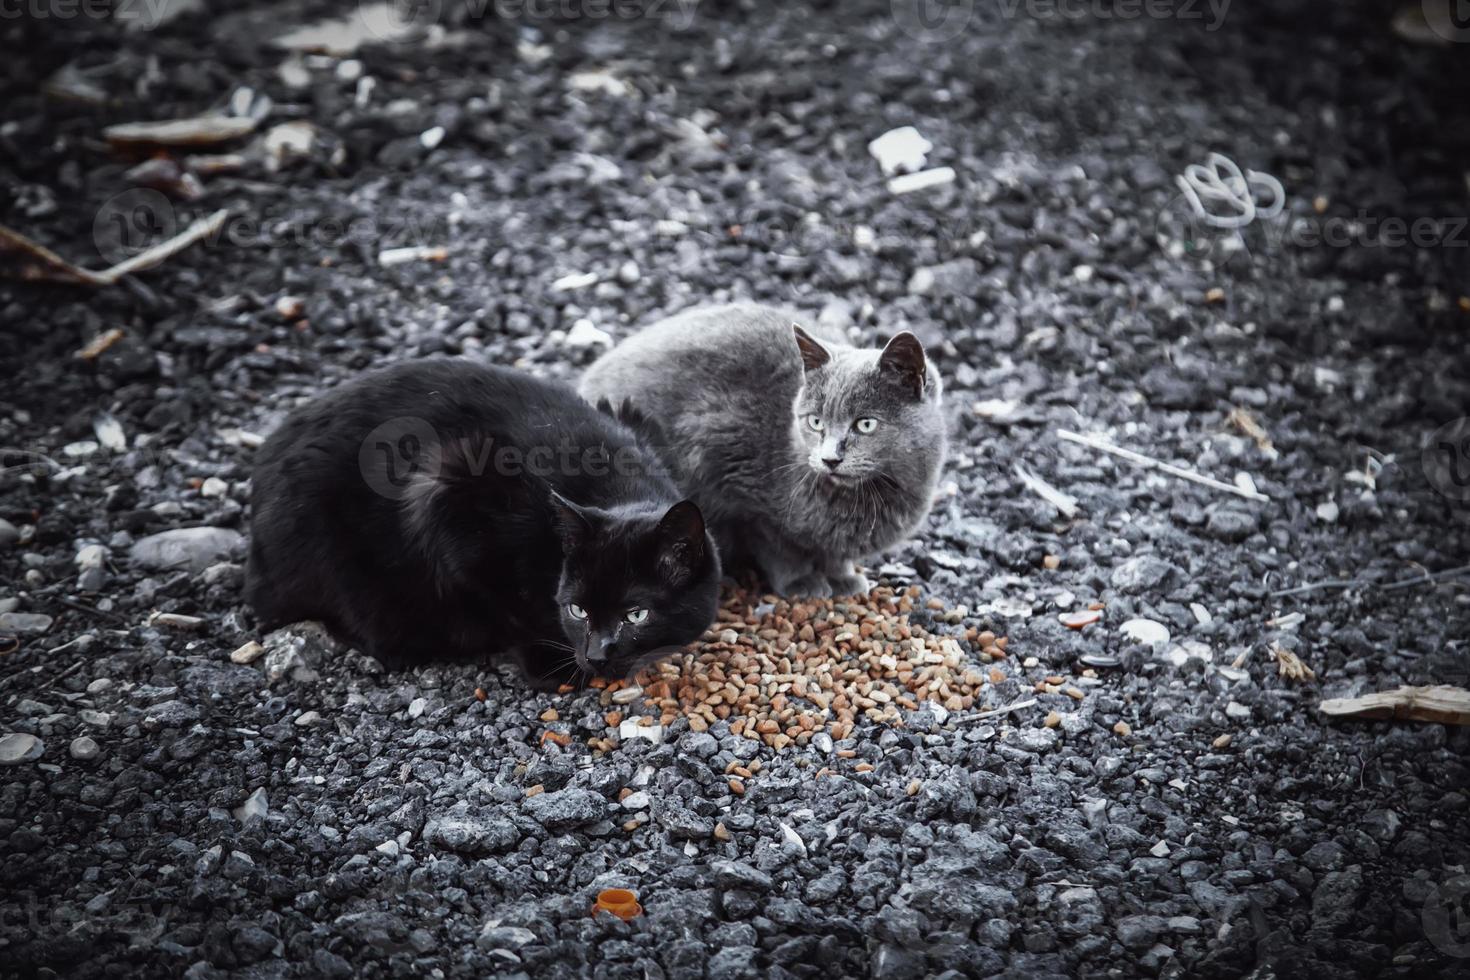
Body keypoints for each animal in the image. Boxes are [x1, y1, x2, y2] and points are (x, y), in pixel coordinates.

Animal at [244, 359, 720, 690]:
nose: (598, 656)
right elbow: (511, 610)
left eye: (636, 615)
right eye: (577, 611)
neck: (616, 485)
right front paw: (552, 666)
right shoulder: (450, 494)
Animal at [579, 304, 946, 599]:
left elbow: (834, 552)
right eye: (815, 421)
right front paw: (802, 583)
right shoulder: (734, 479)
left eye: (865, 424)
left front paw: (843, 578)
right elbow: (779, 548)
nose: (829, 459)